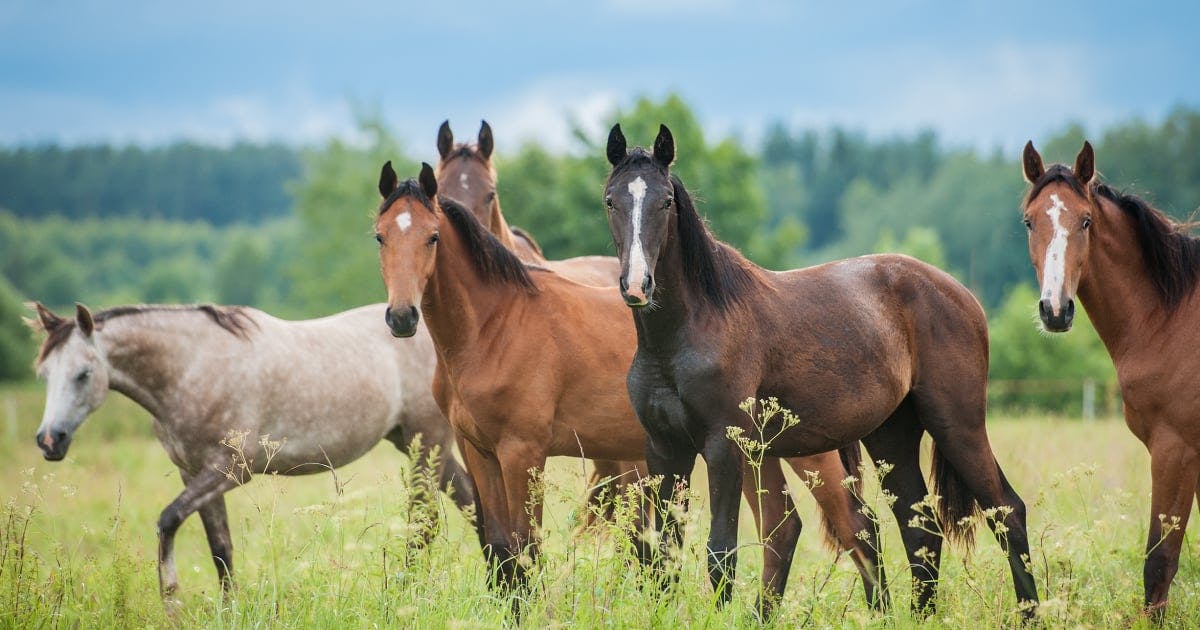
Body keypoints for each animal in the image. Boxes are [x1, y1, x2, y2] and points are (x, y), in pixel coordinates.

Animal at [25, 302, 470, 602]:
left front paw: (172, 601)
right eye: (44, 374)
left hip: (427, 443)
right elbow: (220, 549)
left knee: (424, 523)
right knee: (469, 503)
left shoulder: (231, 470)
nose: (50, 441)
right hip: (419, 445)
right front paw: (229, 609)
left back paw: (406, 593)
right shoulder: (193, 473)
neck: (192, 367)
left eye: (83, 374)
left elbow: (168, 520)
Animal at [374, 162, 892, 609]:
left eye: (432, 237)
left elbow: (526, 547)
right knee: (793, 530)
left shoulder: (523, 453)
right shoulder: (479, 451)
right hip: (755, 452)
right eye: (380, 236)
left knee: (856, 528)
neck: (495, 326)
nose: (401, 317)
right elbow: (501, 549)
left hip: (808, 455)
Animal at [604, 124, 1036, 619]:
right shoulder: (664, 450)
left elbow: (721, 550)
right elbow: (662, 552)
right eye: (611, 200)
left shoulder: (723, 447)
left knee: (1007, 512)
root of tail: (962, 295)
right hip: (891, 437)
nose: (638, 285)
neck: (685, 333)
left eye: (665, 202)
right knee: (919, 526)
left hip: (957, 425)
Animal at [1022, 139, 1200, 614]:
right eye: (1028, 221)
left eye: (1085, 220)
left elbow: (1159, 566)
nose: (1055, 310)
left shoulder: (1175, 452)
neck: (1167, 319)